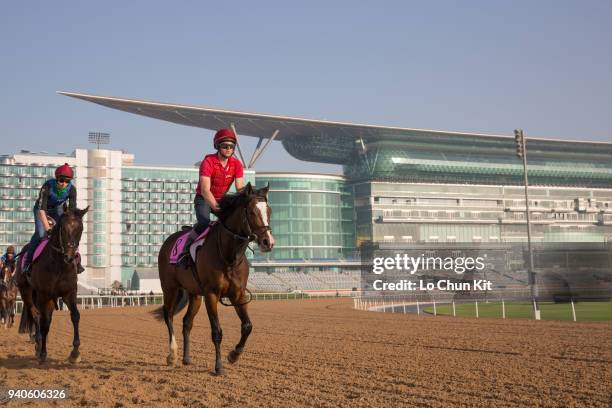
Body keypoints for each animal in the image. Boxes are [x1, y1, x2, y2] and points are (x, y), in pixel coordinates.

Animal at [14, 207, 88, 364]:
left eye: (80, 229)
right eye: (63, 229)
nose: (70, 257)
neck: (59, 264)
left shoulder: (69, 293)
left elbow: (75, 316)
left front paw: (75, 353)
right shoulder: (44, 295)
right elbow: (45, 323)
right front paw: (42, 353)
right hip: (26, 291)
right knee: (36, 315)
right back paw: (38, 344)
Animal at [153, 183, 274, 374]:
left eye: (268, 211)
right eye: (252, 212)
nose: (267, 242)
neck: (229, 256)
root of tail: (168, 241)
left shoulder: (238, 294)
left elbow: (247, 326)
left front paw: (234, 355)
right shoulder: (211, 295)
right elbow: (217, 331)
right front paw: (218, 367)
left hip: (194, 294)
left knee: (187, 322)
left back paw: (186, 358)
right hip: (170, 288)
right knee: (168, 315)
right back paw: (172, 354)